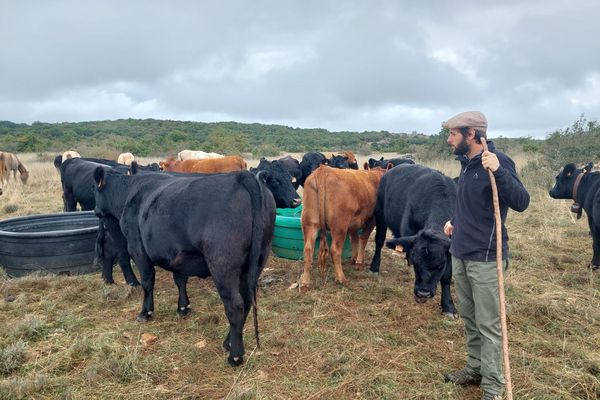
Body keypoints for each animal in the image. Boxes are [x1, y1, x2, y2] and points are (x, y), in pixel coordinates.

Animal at [92, 167, 276, 368]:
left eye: (94, 188)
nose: (95, 210)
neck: (129, 193)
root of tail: (242, 176)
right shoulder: (176, 255)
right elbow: (180, 279)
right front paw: (183, 307)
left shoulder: (137, 249)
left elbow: (147, 282)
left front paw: (145, 312)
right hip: (257, 261)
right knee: (248, 301)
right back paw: (228, 343)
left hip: (222, 264)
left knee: (235, 305)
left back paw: (234, 355)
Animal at [300, 162, 390, 290]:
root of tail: (323, 170)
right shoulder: (371, 219)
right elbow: (363, 239)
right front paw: (359, 262)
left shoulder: (354, 223)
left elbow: (354, 239)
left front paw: (354, 258)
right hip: (339, 226)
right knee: (335, 250)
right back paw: (341, 279)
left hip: (309, 224)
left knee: (308, 250)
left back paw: (305, 283)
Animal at [370, 164, 454, 318]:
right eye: (417, 262)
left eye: (441, 264)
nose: (423, 293)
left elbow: (446, 277)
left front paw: (448, 306)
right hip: (380, 214)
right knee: (379, 241)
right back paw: (374, 267)